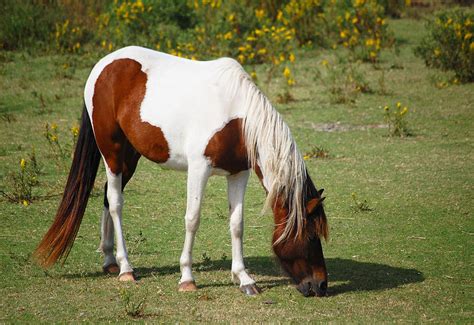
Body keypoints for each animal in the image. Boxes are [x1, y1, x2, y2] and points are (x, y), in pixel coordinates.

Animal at [34, 45, 330, 296]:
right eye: (310, 234)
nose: (320, 285)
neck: (235, 116)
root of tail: (104, 65)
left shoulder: (238, 173)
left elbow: (237, 224)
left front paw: (244, 279)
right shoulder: (199, 168)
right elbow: (193, 218)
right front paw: (187, 277)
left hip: (131, 156)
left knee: (108, 198)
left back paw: (109, 260)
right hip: (112, 153)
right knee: (116, 203)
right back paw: (126, 268)